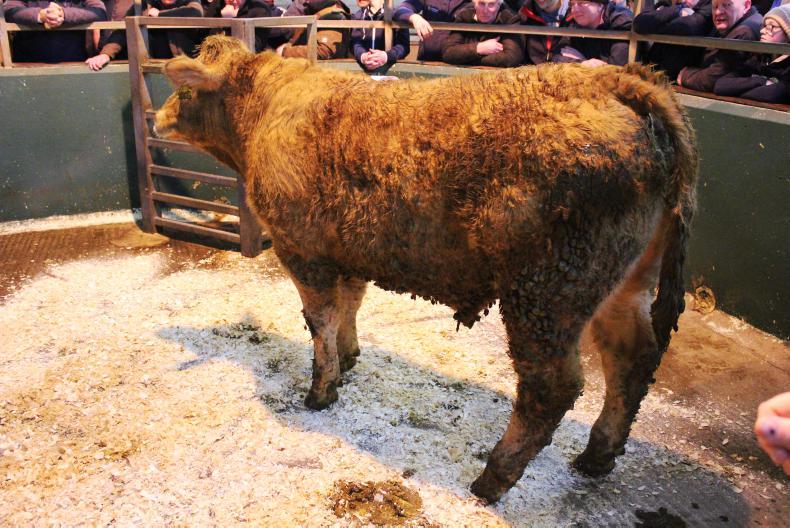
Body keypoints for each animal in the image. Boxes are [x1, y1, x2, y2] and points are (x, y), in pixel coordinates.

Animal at [154, 35, 698, 504]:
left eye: (185, 89)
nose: (157, 117)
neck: (266, 109)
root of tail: (619, 81)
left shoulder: (302, 249)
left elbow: (320, 320)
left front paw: (321, 390)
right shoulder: (348, 249)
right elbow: (350, 306)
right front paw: (350, 359)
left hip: (548, 291)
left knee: (552, 386)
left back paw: (493, 478)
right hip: (621, 283)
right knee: (631, 358)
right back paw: (597, 456)